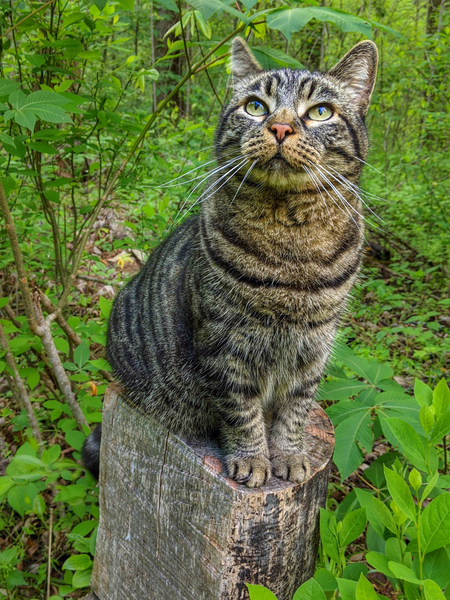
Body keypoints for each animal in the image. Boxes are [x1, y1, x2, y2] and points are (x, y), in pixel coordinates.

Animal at [82, 36, 378, 488]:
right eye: (255, 106)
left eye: (320, 112)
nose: (280, 127)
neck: (291, 243)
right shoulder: (224, 343)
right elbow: (241, 412)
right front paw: (253, 459)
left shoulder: (314, 344)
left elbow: (296, 408)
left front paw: (289, 455)